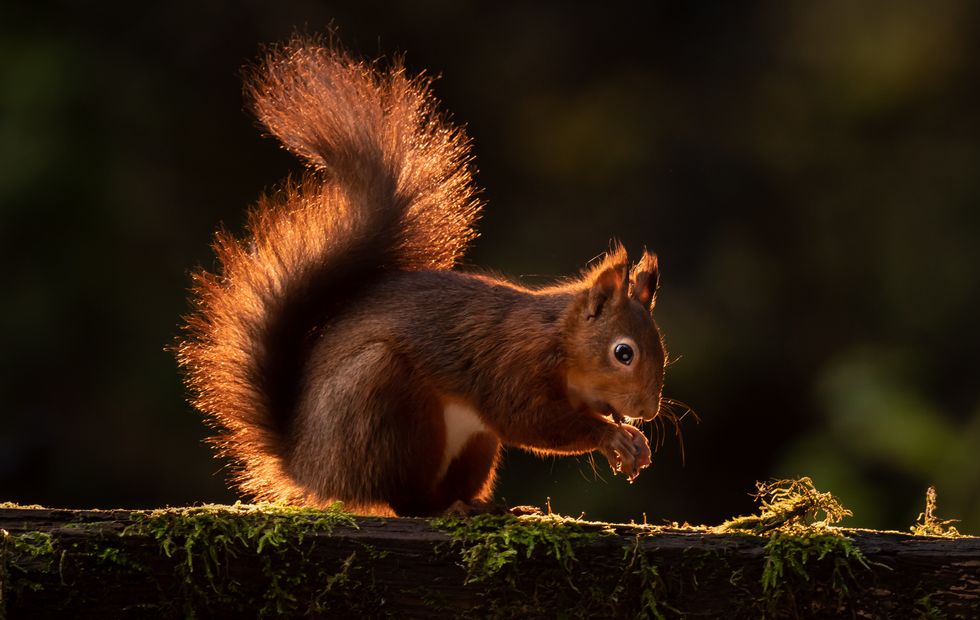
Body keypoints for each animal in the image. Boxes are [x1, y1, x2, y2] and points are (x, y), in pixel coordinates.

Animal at [174, 36, 668, 516]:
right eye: (623, 353)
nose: (646, 411)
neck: (559, 339)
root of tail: (306, 465)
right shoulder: (510, 365)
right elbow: (529, 421)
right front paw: (613, 436)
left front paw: (636, 443)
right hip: (384, 402)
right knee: (403, 499)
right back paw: (448, 510)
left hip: (474, 444)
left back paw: (487, 507)